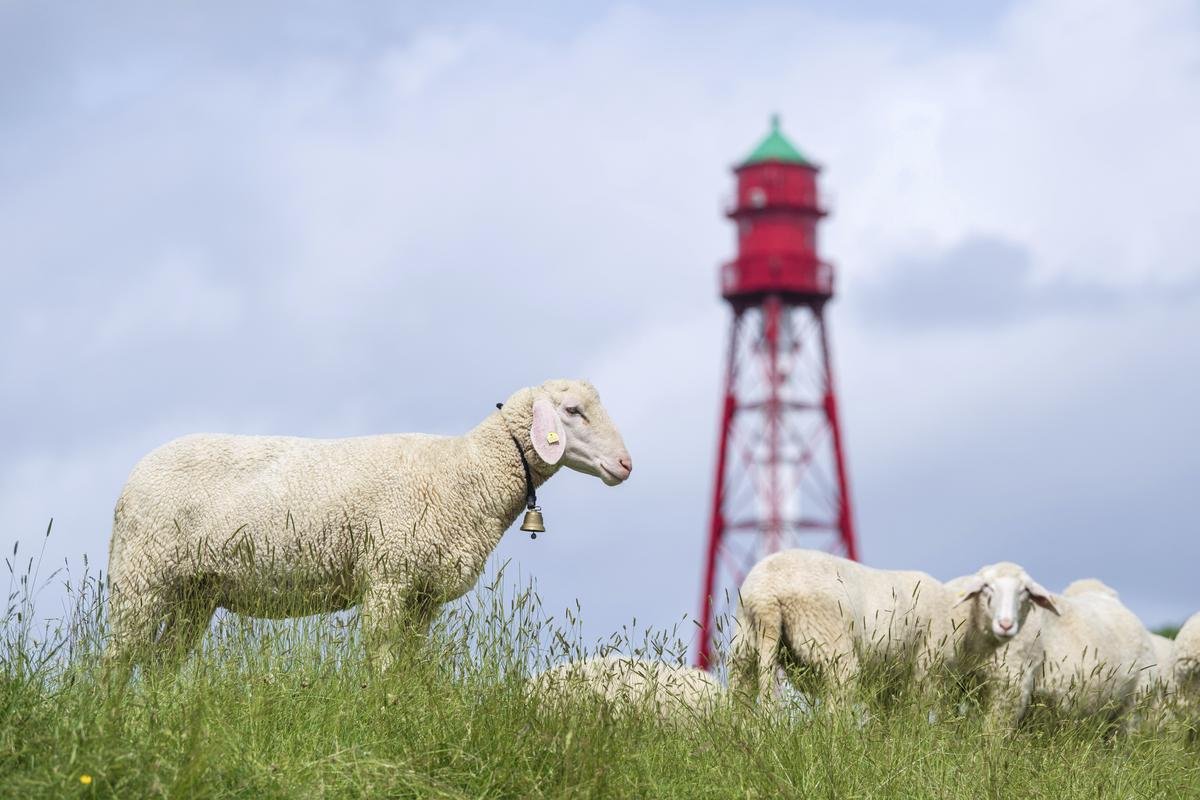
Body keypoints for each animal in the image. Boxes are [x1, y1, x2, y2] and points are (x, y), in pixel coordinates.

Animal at [106, 379, 633, 671]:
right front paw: (383, 710)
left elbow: (409, 661)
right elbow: (382, 655)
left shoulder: (422, 594)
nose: (626, 465)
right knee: (117, 657)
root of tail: (131, 480)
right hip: (141, 575)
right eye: (572, 411)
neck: (467, 471)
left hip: (194, 589)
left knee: (161, 661)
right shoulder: (387, 575)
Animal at [724, 551, 1056, 714]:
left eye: (1026, 593)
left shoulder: (890, 683)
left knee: (740, 701)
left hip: (744, 647)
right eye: (987, 589)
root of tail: (767, 595)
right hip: (831, 646)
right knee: (835, 709)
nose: (1006, 625)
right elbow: (916, 717)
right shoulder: (926, 669)